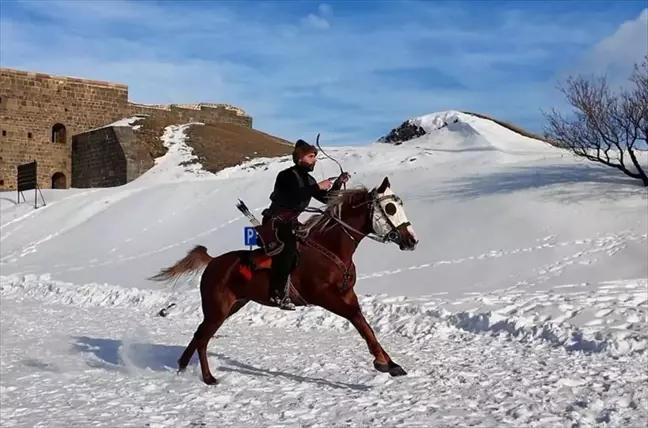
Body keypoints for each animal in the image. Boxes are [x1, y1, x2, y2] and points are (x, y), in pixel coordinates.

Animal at [147, 176, 420, 384]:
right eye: (391, 208)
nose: (412, 240)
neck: (331, 246)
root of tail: (213, 262)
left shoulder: (346, 293)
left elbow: (365, 325)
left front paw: (391, 363)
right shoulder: (324, 296)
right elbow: (356, 320)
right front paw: (382, 362)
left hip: (232, 306)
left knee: (198, 335)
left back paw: (183, 365)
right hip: (217, 309)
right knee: (203, 339)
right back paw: (207, 377)